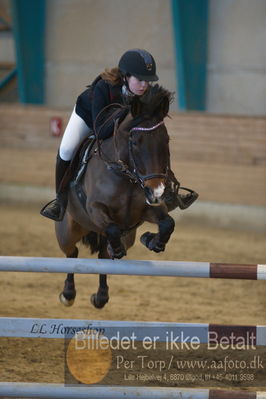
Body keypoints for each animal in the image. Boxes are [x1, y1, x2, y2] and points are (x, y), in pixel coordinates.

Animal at [55, 84, 175, 310]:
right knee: (72, 253)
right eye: (135, 142)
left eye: (166, 140)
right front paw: (119, 248)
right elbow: (111, 228)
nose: (157, 191)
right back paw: (68, 293)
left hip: (127, 236)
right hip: (68, 230)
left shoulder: (145, 210)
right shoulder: (95, 208)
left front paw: (152, 241)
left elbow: (167, 224)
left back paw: (100, 296)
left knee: (102, 257)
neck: (123, 174)